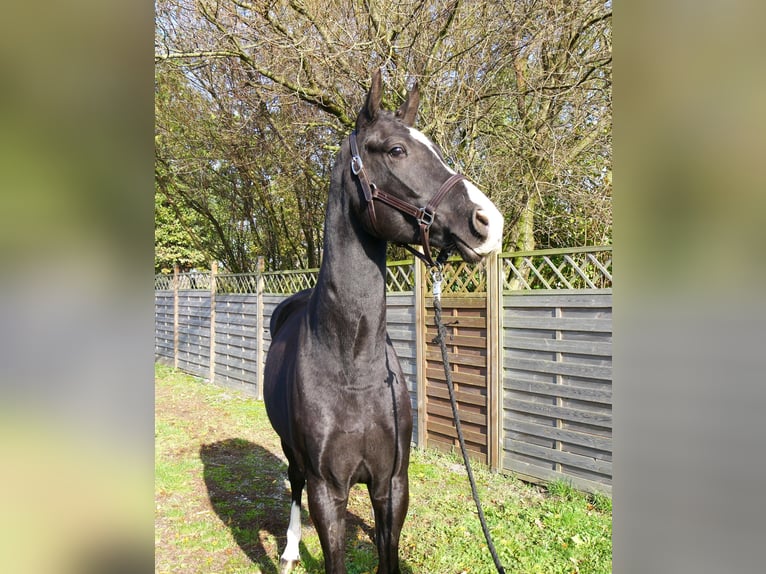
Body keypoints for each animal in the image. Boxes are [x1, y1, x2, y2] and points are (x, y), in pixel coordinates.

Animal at [264, 72, 504, 574]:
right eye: (396, 150)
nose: (489, 222)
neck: (352, 363)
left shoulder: (392, 484)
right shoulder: (328, 490)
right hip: (292, 452)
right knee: (293, 482)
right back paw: (291, 550)